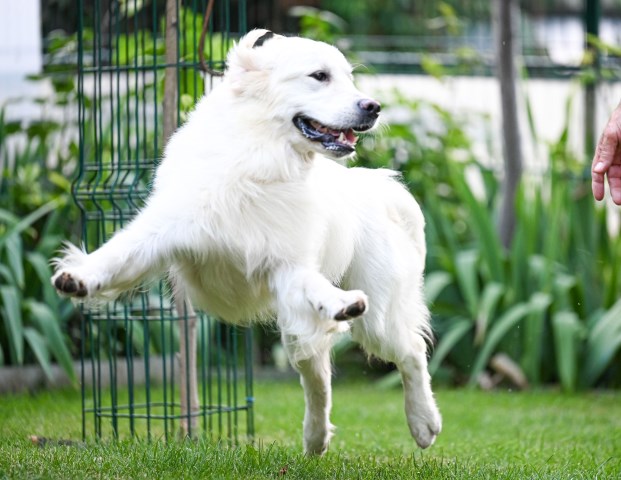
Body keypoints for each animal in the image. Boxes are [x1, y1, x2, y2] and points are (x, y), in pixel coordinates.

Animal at [52, 30, 440, 454]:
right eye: (319, 76)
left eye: (349, 78)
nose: (373, 107)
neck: (258, 158)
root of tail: (377, 186)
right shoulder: (166, 228)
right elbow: (118, 254)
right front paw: (79, 278)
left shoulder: (289, 265)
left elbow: (316, 286)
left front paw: (341, 301)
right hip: (301, 331)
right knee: (318, 378)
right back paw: (315, 438)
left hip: (376, 319)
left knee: (411, 353)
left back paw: (424, 422)